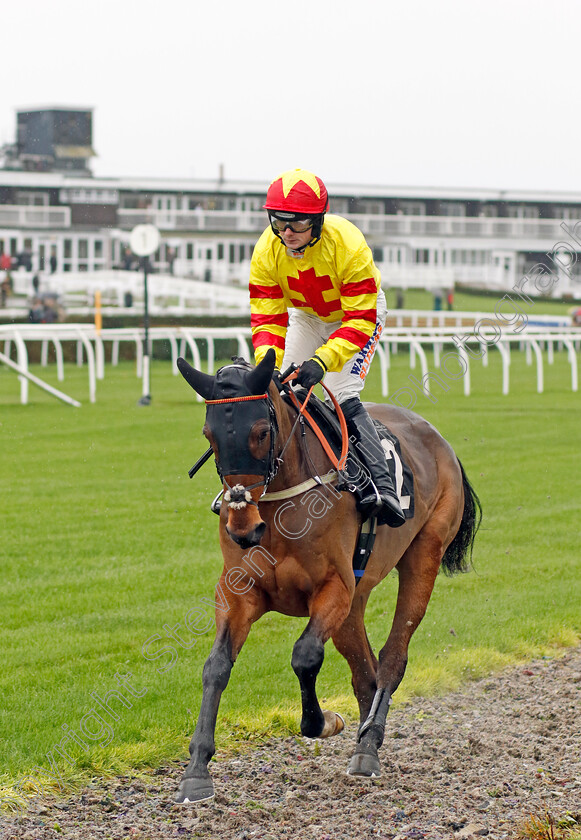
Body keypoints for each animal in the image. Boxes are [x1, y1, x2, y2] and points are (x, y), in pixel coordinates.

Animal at [173, 350, 480, 808]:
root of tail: (437, 438)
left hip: (423, 555)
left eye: (261, 432)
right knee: (365, 674)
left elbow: (304, 656)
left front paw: (324, 721)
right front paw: (196, 770)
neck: (280, 509)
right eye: (209, 435)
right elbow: (216, 667)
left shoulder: (333, 589)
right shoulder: (238, 593)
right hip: (355, 603)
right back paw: (368, 741)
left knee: (391, 659)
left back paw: (367, 746)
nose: (242, 528)